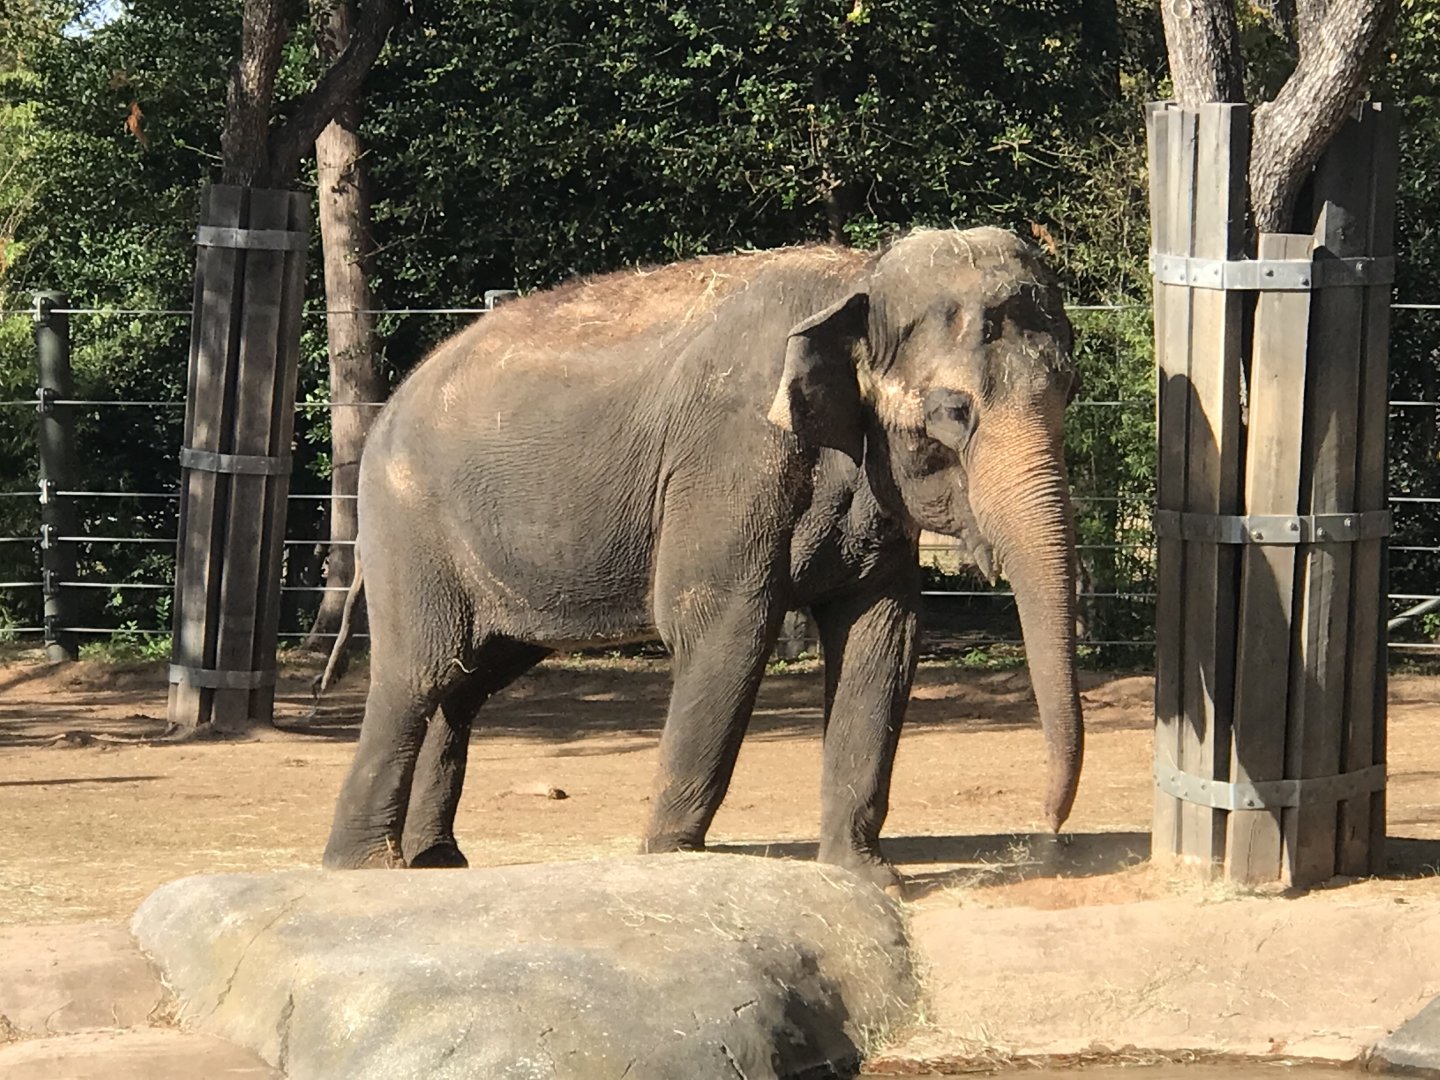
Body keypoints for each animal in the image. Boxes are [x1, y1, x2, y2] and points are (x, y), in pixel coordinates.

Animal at [322, 226, 1084, 890]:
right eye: (954, 412)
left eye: (1072, 391)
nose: (1046, 835)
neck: (856, 279)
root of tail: (387, 409)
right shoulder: (727, 460)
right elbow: (723, 626)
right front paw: (672, 862)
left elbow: (884, 637)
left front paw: (865, 877)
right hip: (409, 528)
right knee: (418, 674)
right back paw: (364, 867)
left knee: (466, 684)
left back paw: (439, 862)